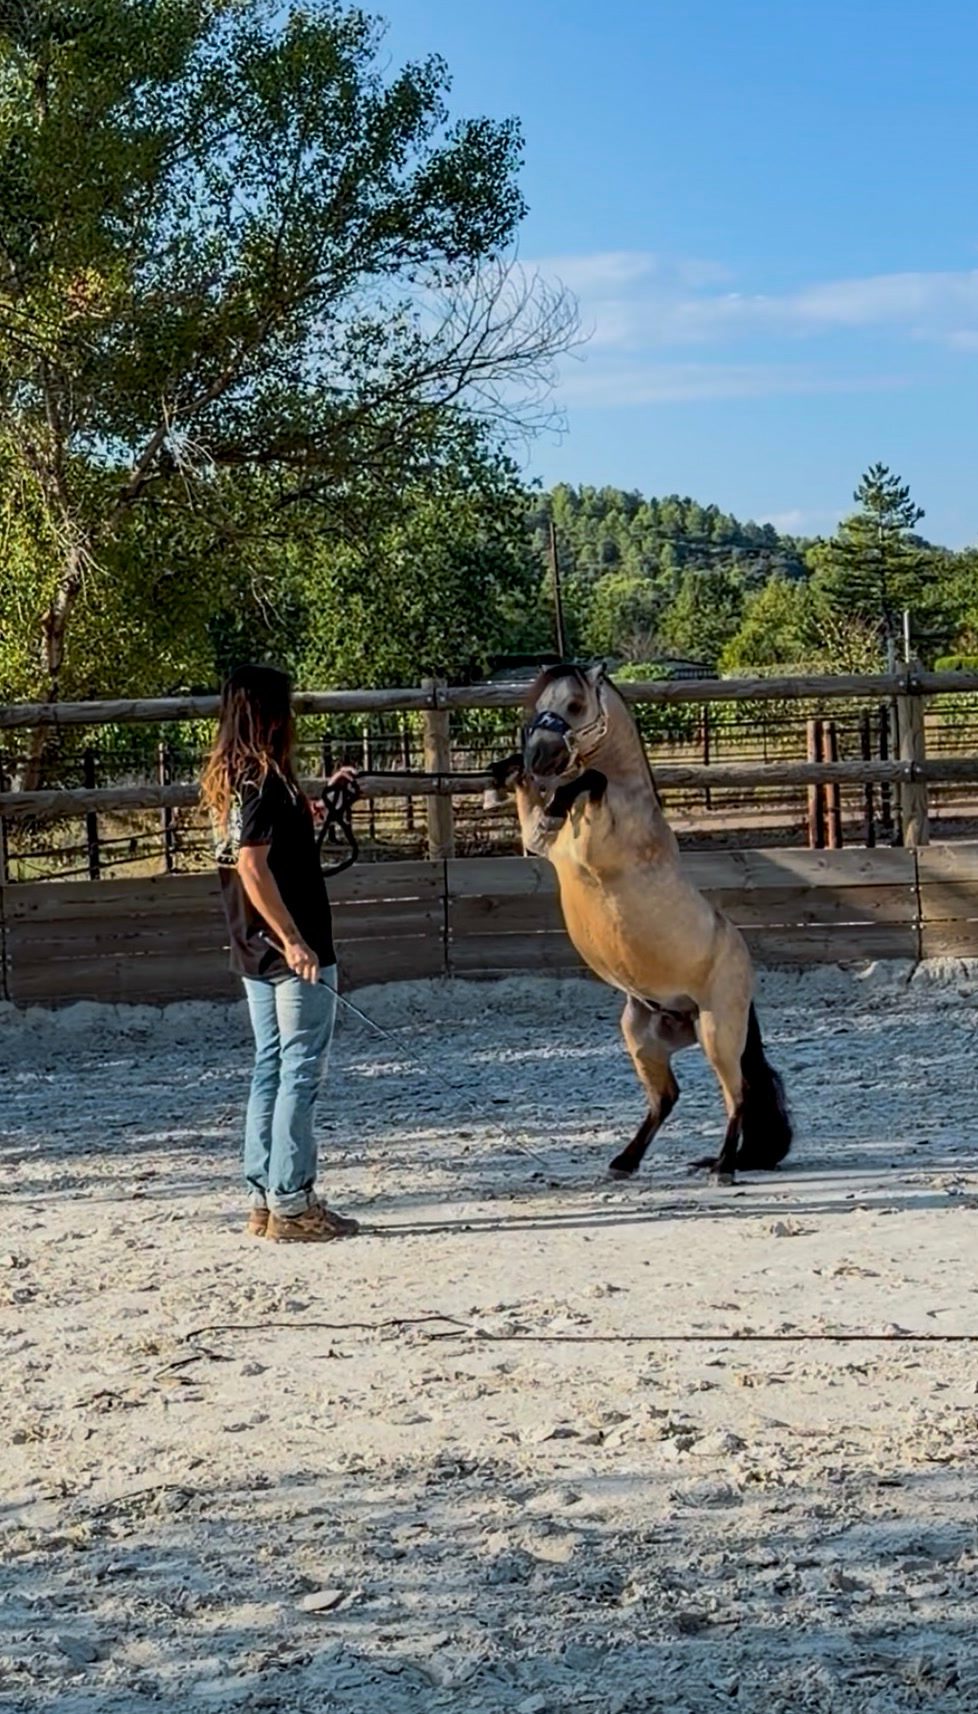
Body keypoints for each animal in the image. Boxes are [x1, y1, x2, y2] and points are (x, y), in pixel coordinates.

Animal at [487, 662, 792, 1183]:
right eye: (538, 704)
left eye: (574, 704)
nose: (538, 756)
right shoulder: (542, 846)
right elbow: (537, 811)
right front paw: (504, 774)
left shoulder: (597, 845)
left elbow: (590, 779)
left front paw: (555, 795)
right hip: (642, 1035)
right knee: (667, 1097)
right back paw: (623, 1162)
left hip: (718, 1033)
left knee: (738, 1094)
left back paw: (723, 1168)